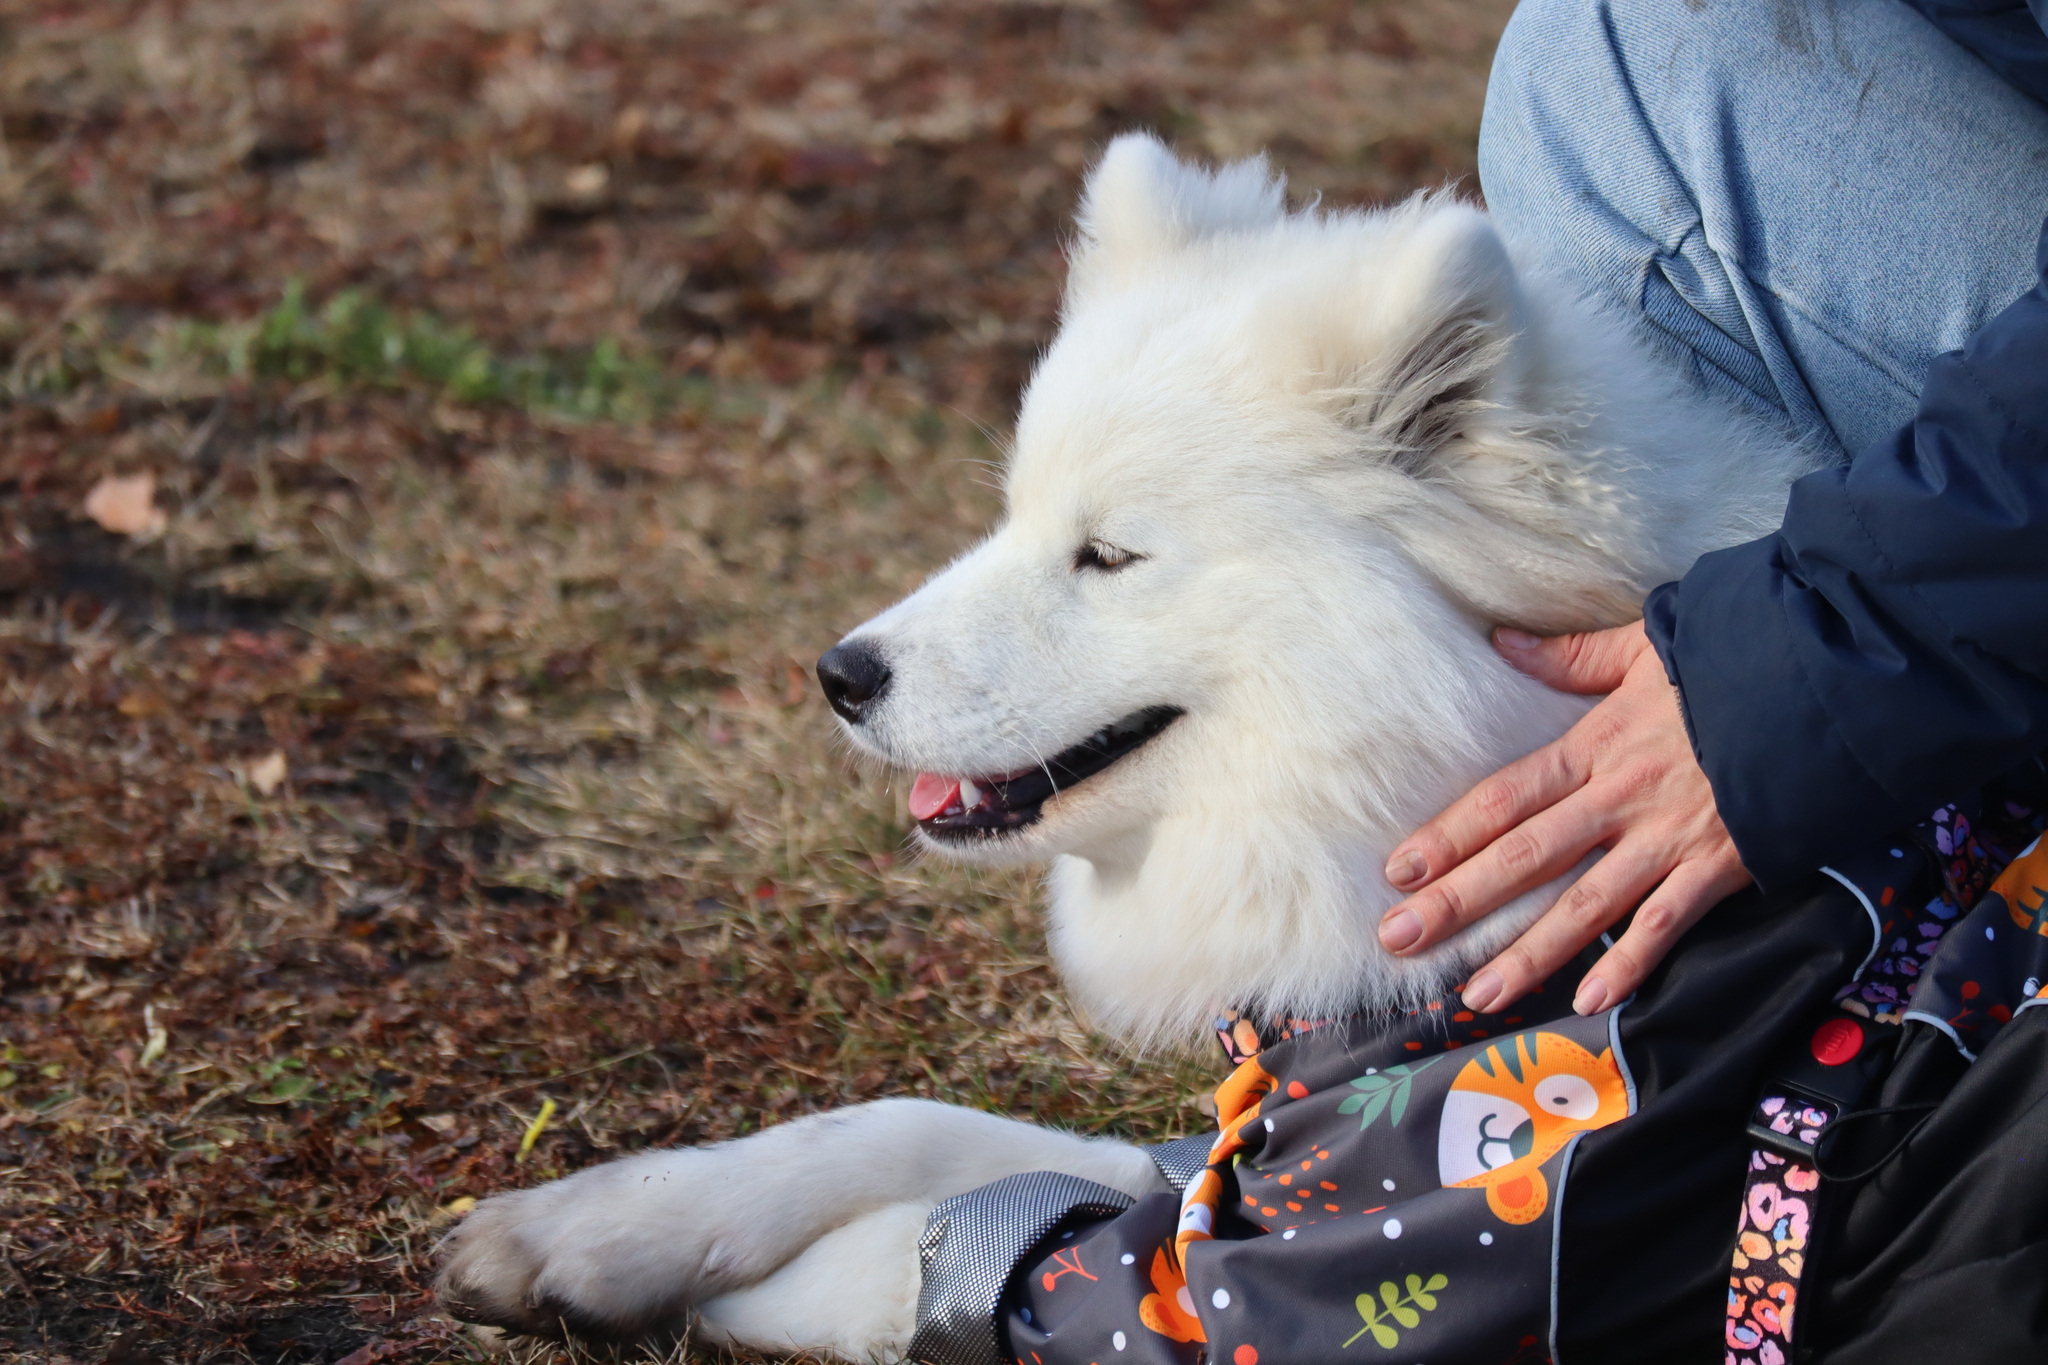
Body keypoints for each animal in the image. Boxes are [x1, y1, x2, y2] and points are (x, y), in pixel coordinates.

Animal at [428, 136, 1810, 1358]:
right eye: (1012, 515)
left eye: (1107, 554)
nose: (838, 677)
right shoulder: (1228, 1164)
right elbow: (914, 1130)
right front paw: (593, 1228)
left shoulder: (1308, 1268)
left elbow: (911, 1248)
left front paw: (705, 1293)